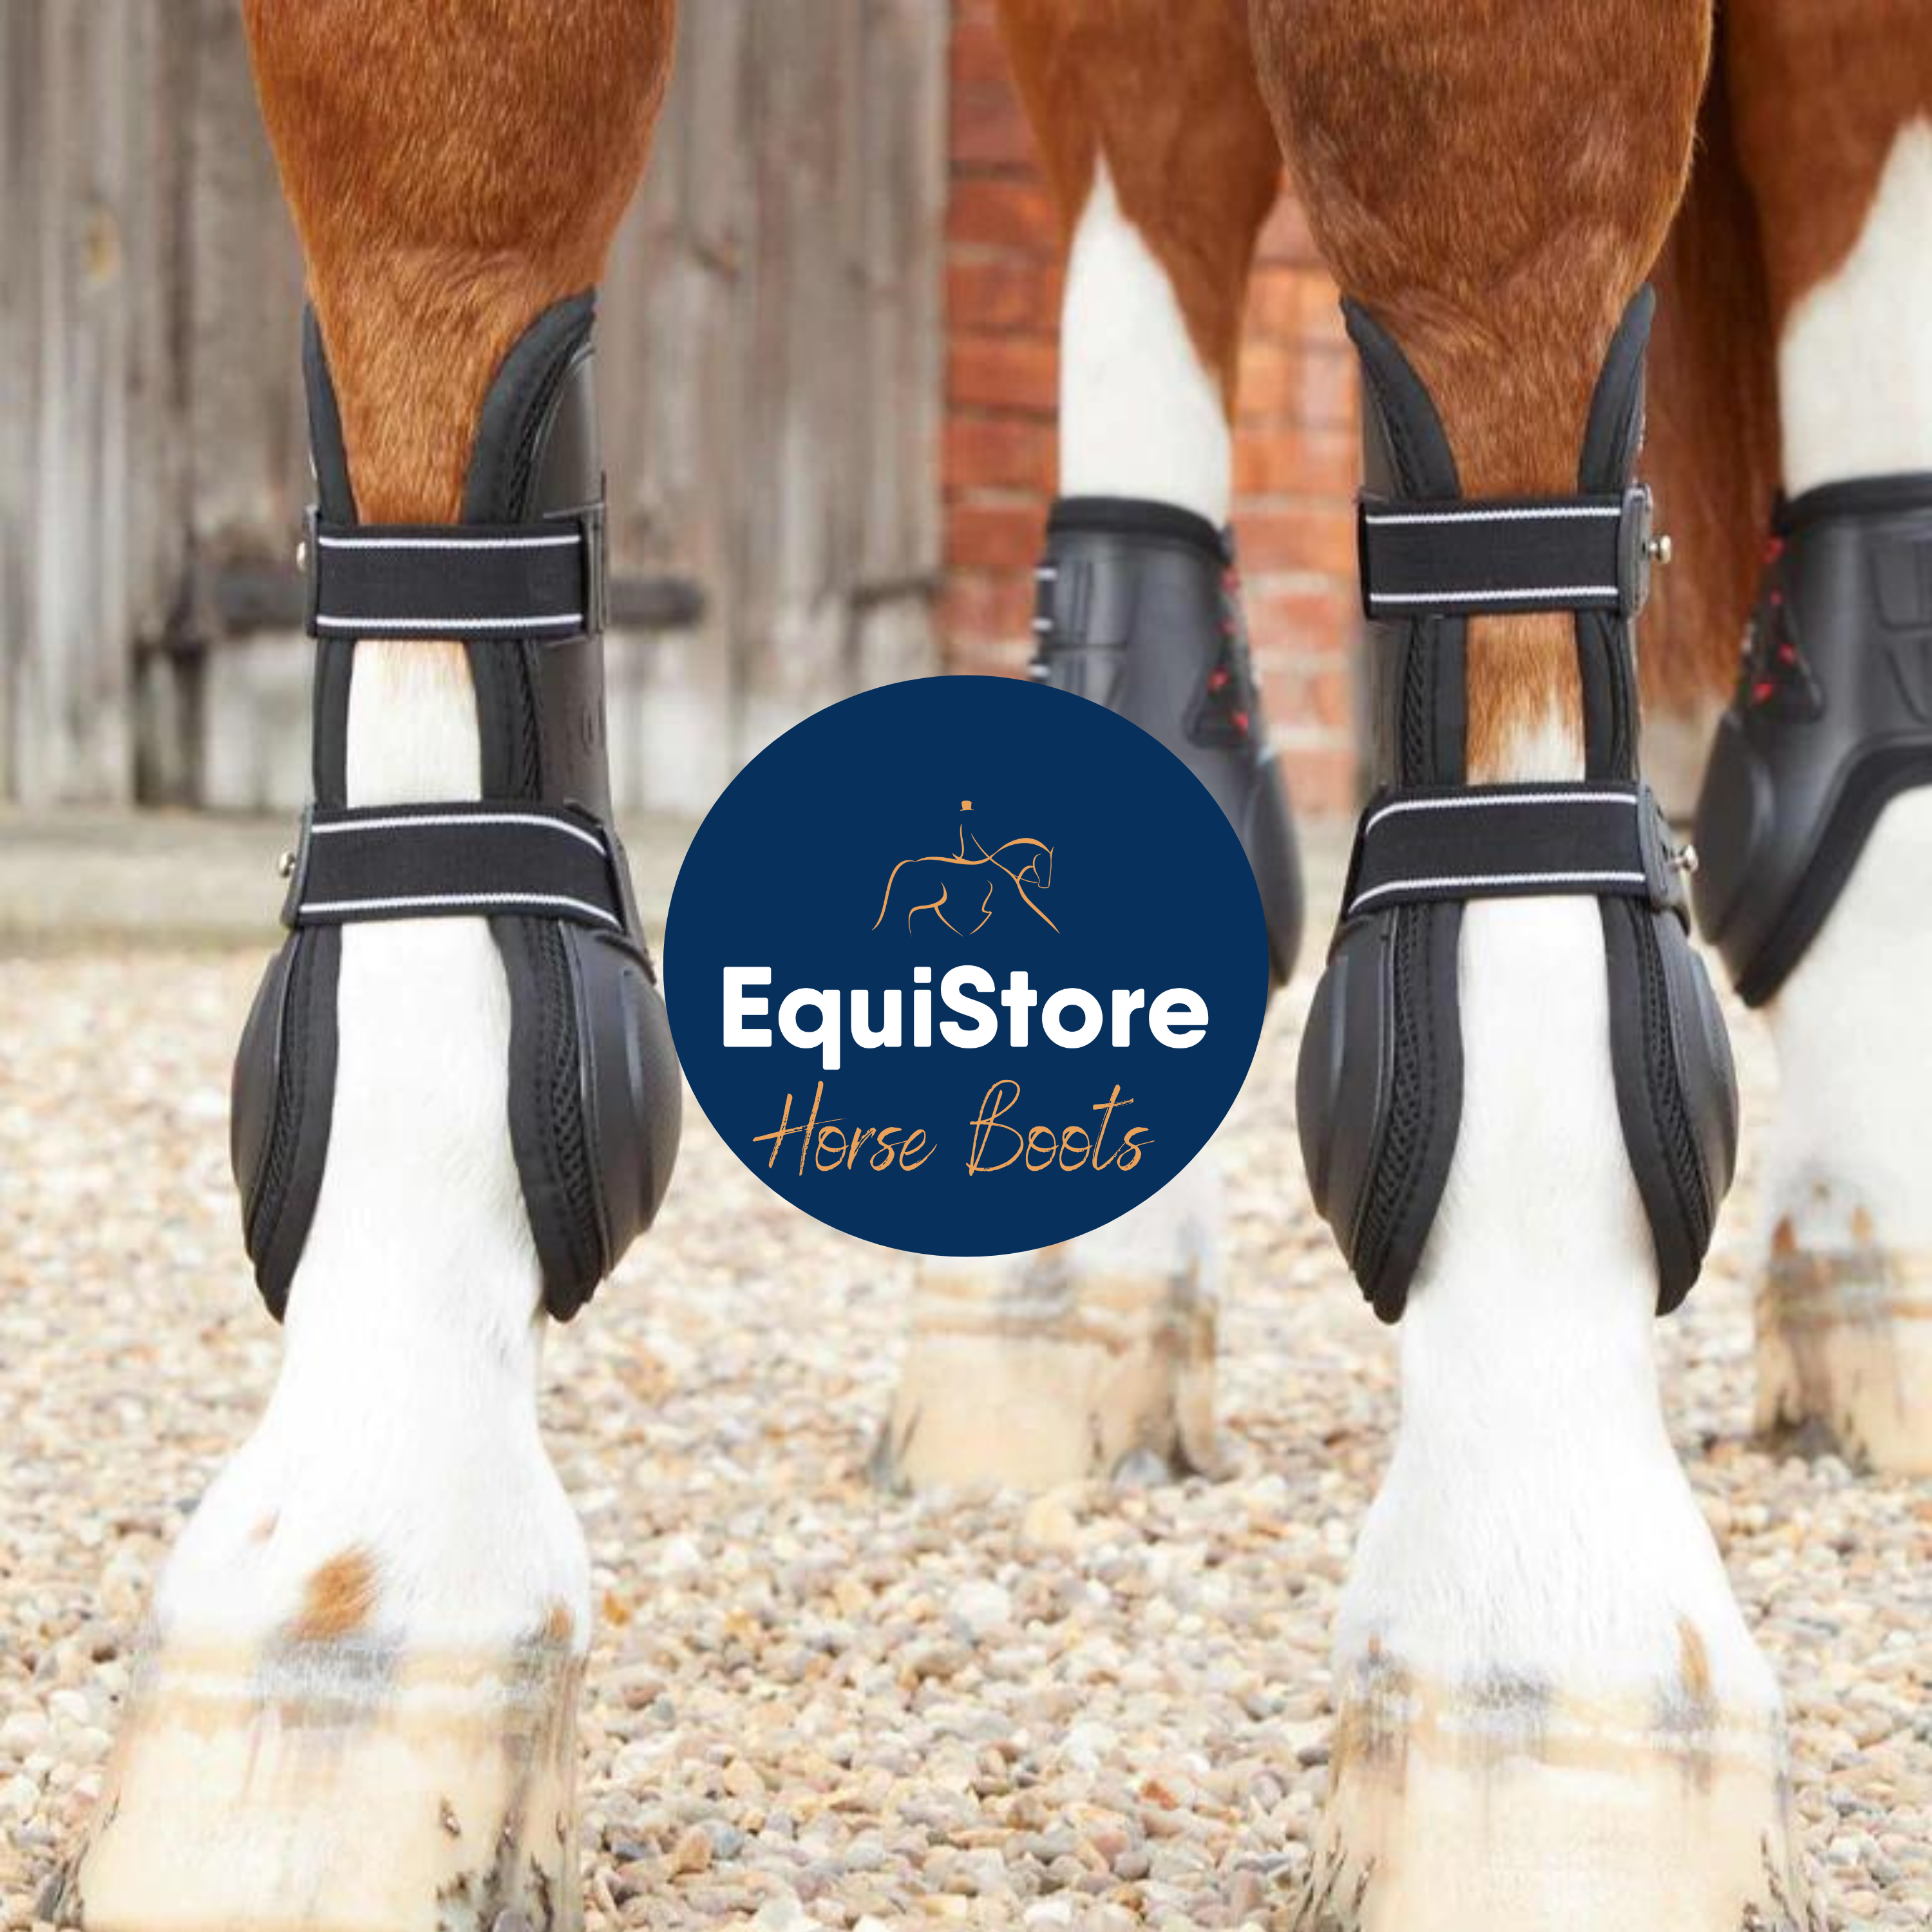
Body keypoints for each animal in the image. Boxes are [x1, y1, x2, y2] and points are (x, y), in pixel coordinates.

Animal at [53, 1, 1929, 1928]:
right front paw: (339, 1616)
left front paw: (1550, 1665)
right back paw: (1068, 1282)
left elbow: (1487, 279)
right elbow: (439, 253)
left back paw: (1876, 1259)